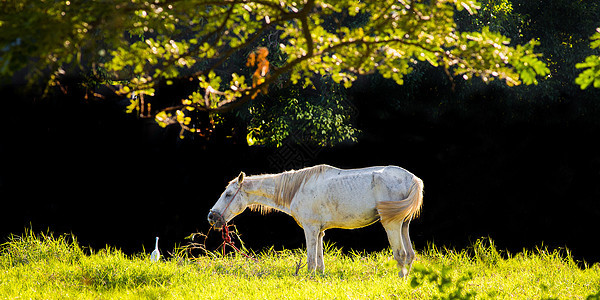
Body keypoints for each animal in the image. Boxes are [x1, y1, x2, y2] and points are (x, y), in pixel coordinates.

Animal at [209, 164, 424, 276]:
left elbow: (311, 259)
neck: (296, 188)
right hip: (404, 225)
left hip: (392, 225)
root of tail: (412, 179)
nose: (212, 217)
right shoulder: (319, 231)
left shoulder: (310, 229)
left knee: (401, 254)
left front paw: (308, 277)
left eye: (228, 194)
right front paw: (319, 277)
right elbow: (320, 260)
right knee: (410, 255)